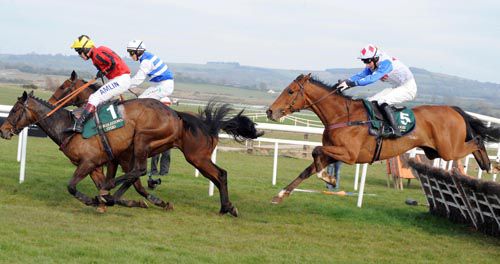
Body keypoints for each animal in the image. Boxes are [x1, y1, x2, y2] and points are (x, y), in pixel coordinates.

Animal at [0, 89, 262, 216]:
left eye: (14, 110)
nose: (3, 130)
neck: (68, 127)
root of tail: (178, 115)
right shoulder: (97, 165)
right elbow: (112, 185)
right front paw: (114, 201)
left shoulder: (89, 162)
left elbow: (73, 187)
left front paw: (98, 199)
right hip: (194, 157)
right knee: (220, 175)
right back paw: (226, 207)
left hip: (145, 140)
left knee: (141, 170)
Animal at [266, 73, 500, 203]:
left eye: (290, 91)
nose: (269, 112)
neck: (343, 116)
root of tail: (453, 108)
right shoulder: (333, 153)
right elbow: (308, 168)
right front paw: (281, 194)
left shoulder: (349, 155)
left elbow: (315, 151)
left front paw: (329, 178)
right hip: (435, 151)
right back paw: (486, 164)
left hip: (448, 149)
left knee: (477, 140)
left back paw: (489, 165)